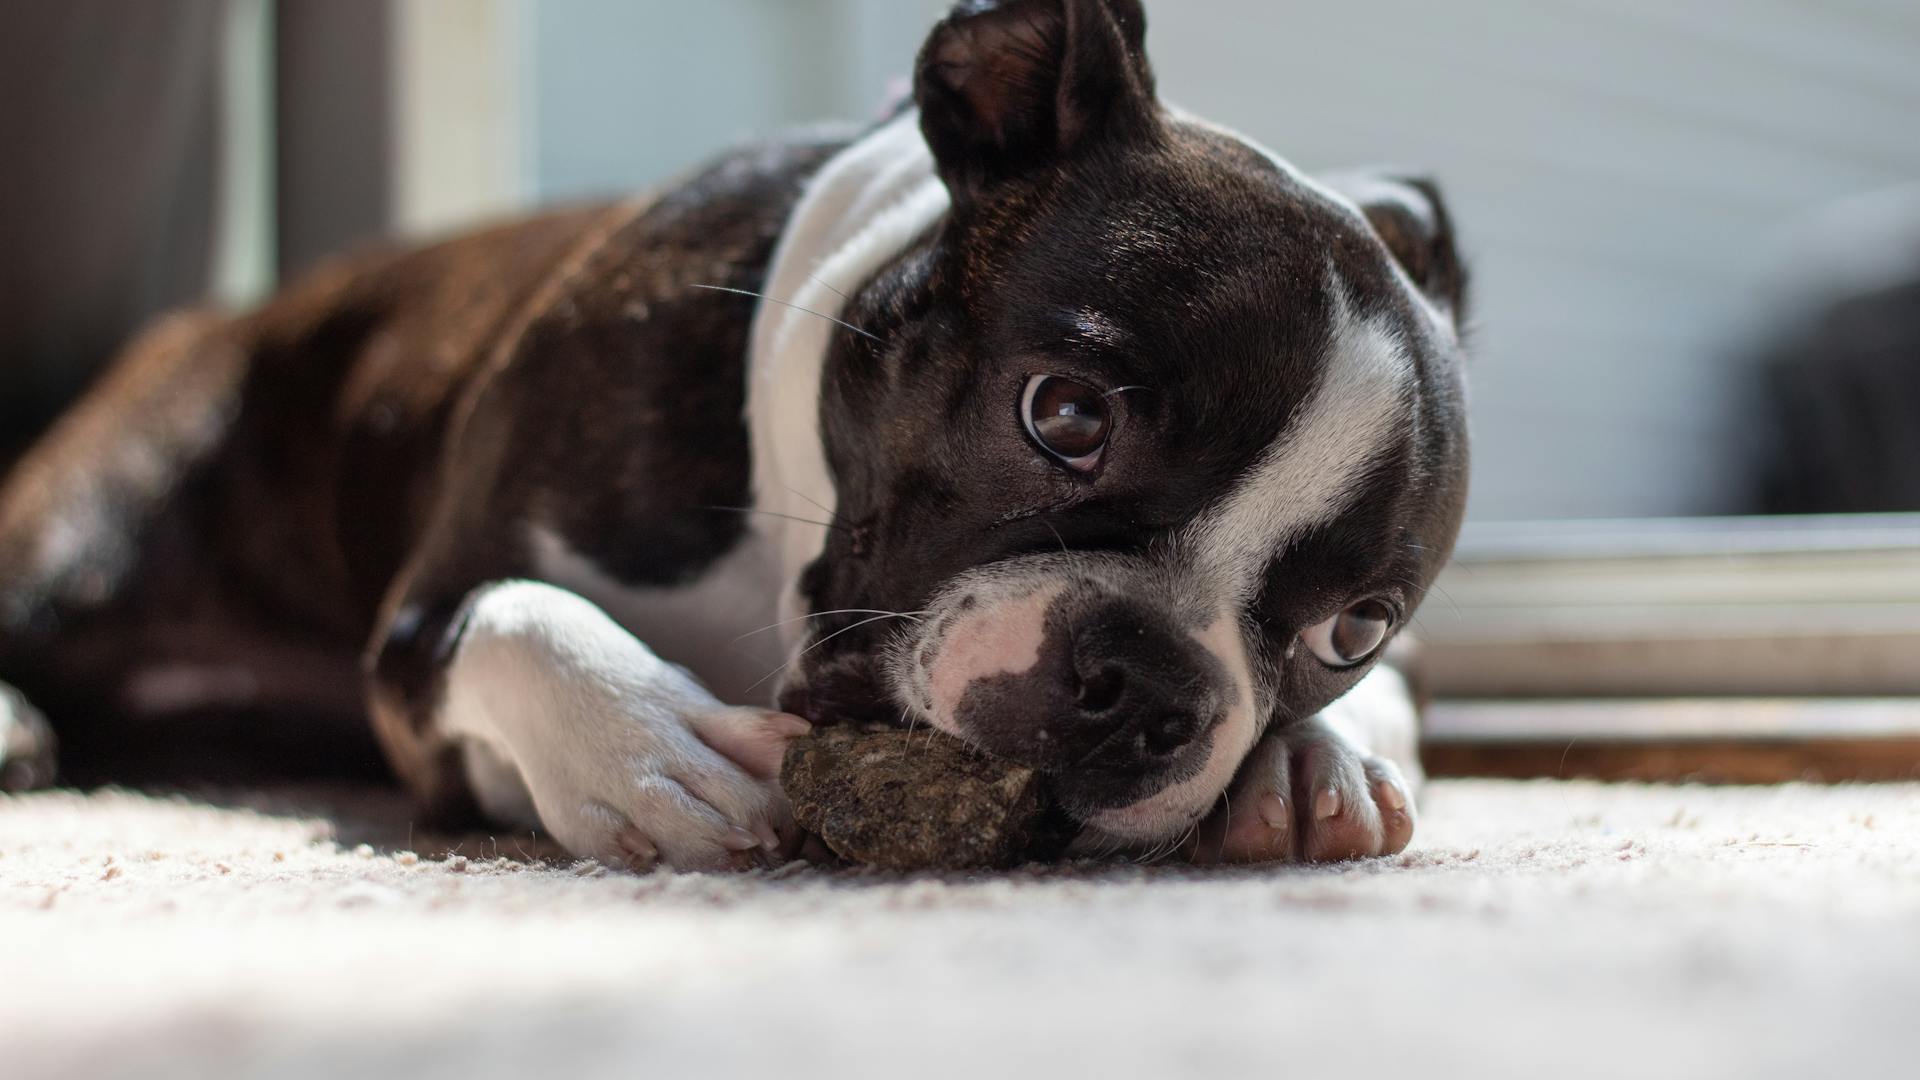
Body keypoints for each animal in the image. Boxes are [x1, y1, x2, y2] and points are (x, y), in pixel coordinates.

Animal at [0, 0, 1466, 868]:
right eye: (1064, 415)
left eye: (1354, 629)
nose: (1152, 684)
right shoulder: (419, 636)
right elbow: (513, 614)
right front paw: (653, 745)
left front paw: (1320, 752)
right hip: (90, 532)